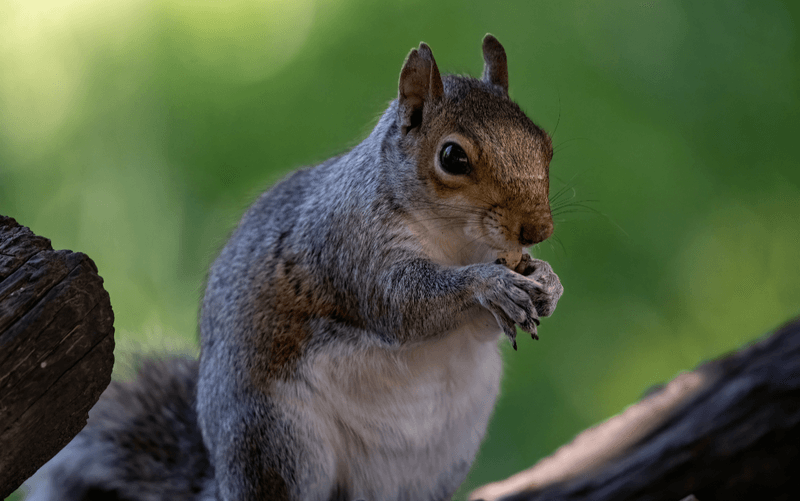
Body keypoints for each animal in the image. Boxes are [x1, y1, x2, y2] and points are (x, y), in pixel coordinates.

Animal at [26, 34, 563, 501]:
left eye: (546, 143)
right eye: (452, 157)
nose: (537, 229)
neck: (456, 242)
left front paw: (548, 282)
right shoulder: (347, 246)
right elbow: (403, 306)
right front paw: (489, 285)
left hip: (435, 461)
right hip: (277, 442)